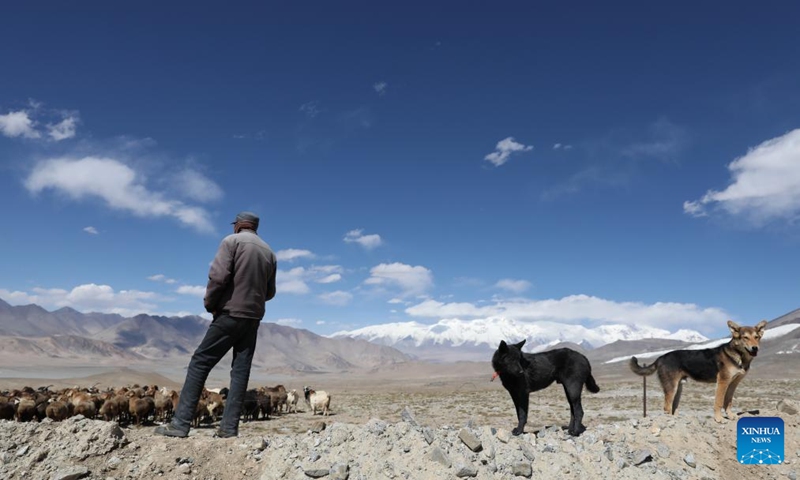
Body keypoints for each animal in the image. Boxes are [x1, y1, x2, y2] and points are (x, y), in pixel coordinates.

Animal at [632, 320, 768, 422]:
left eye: (756, 337)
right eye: (745, 337)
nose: (755, 348)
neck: (739, 356)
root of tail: (660, 358)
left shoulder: (733, 383)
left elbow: (728, 401)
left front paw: (730, 416)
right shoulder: (722, 382)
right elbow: (719, 402)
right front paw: (719, 419)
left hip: (678, 389)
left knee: (671, 408)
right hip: (671, 387)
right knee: (666, 407)